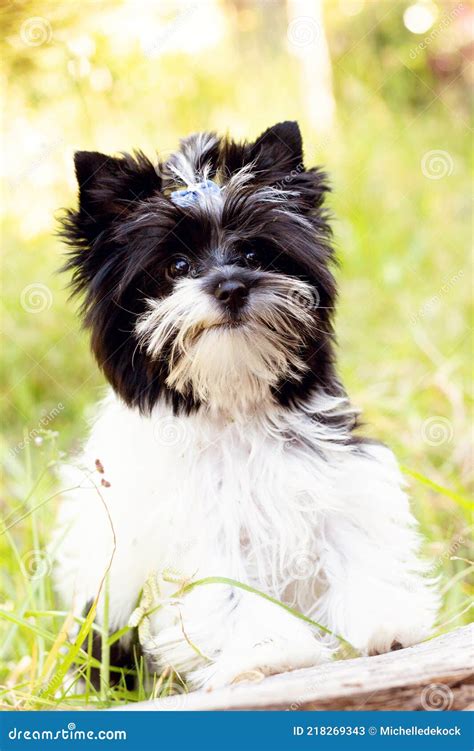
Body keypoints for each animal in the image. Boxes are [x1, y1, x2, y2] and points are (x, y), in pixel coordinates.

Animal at [53, 120, 438, 692]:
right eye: (177, 266)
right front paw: (268, 653)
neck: (234, 401)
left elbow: (355, 542)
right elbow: (230, 590)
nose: (231, 285)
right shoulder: (200, 528)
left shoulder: (337, 477)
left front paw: (386, 623)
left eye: (254, 256)